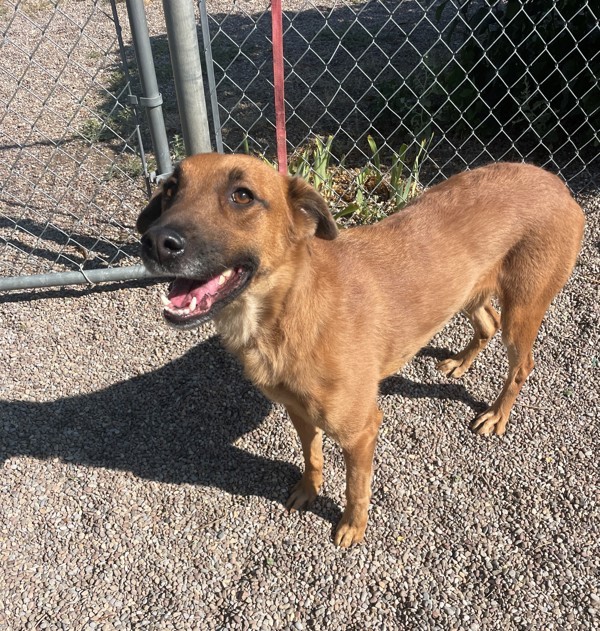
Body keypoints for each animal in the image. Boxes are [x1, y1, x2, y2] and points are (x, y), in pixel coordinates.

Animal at [137, 154, 584, 548]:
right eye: (171, 189)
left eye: (242, 195)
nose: (156, 242)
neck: (285, 313)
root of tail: (558, 185)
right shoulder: (299, 412)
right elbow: (312, 456)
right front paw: (309, 490)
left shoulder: (360, 431)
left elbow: (357, 486)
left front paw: (353, 526)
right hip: (469, 291)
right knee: (487, 323)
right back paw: (460, 362)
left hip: (522, 310)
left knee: (522, 364)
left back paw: (496, 414)